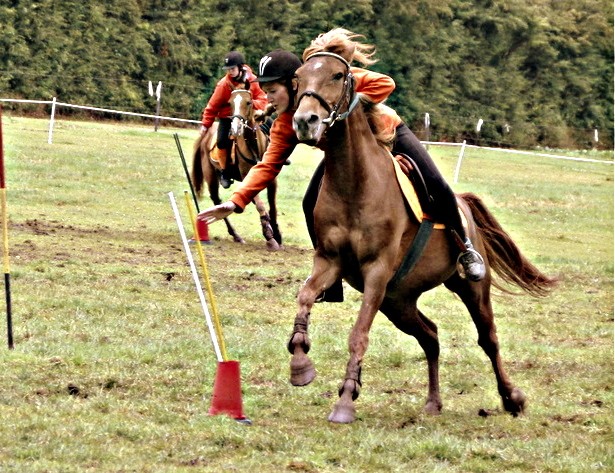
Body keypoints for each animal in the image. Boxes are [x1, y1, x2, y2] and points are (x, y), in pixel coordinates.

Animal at [191, 86, 282, 249]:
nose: (236, 128)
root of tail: (205, 135)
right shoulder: (247, 176)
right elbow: (260, 205)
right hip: (210, 175)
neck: (253, 144)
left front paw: (277, 234)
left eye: (248, 102)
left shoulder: (272, 180)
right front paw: (269, 235)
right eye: (230, 103)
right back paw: (236, 235)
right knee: (216, 200)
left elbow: (272, 206)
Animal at [288, 48, 560, 424]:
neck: (355, 183)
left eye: (338, 76)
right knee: (430, 336)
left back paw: (512, 398)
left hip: (469, 288)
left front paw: (344, 401)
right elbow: (304, 298)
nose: (305, 121)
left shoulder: (377, 271)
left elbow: (359, 335)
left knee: (488, 338)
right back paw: (433, 402)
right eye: (298, 78)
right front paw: (300, 364)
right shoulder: (330, 262)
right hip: (398, 301)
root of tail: (464, 202)